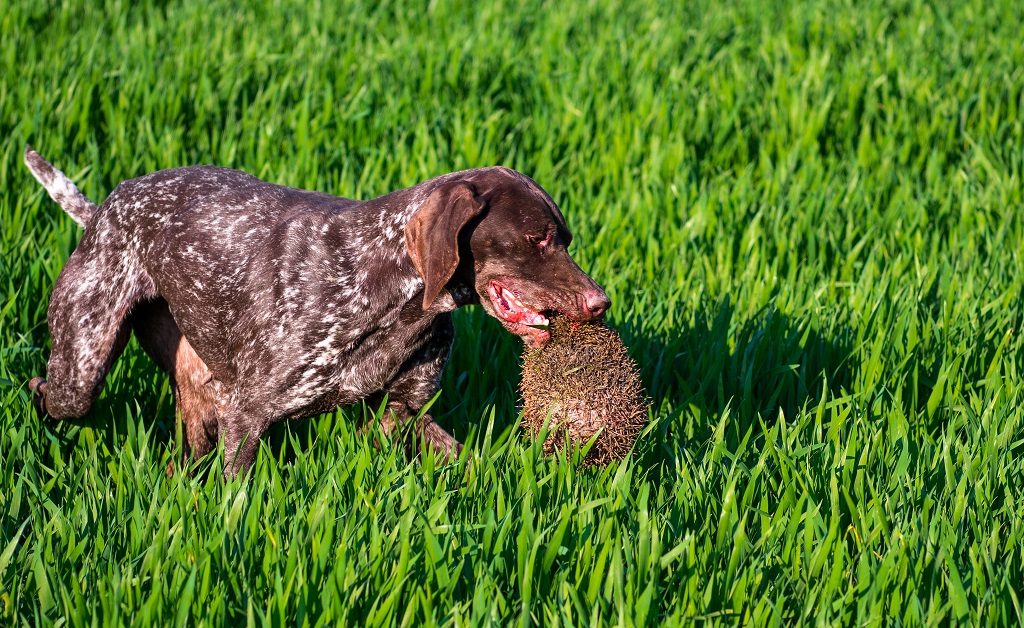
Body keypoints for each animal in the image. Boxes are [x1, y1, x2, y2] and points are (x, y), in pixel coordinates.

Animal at [24, 146, 610, 477]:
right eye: (536, 240)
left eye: (565, 239)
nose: (600, 302)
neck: (389, 287)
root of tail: (104, 210)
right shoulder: (248, 416)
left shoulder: (403, 413)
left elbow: (469, 463)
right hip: (81, 369)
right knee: (49, 391)